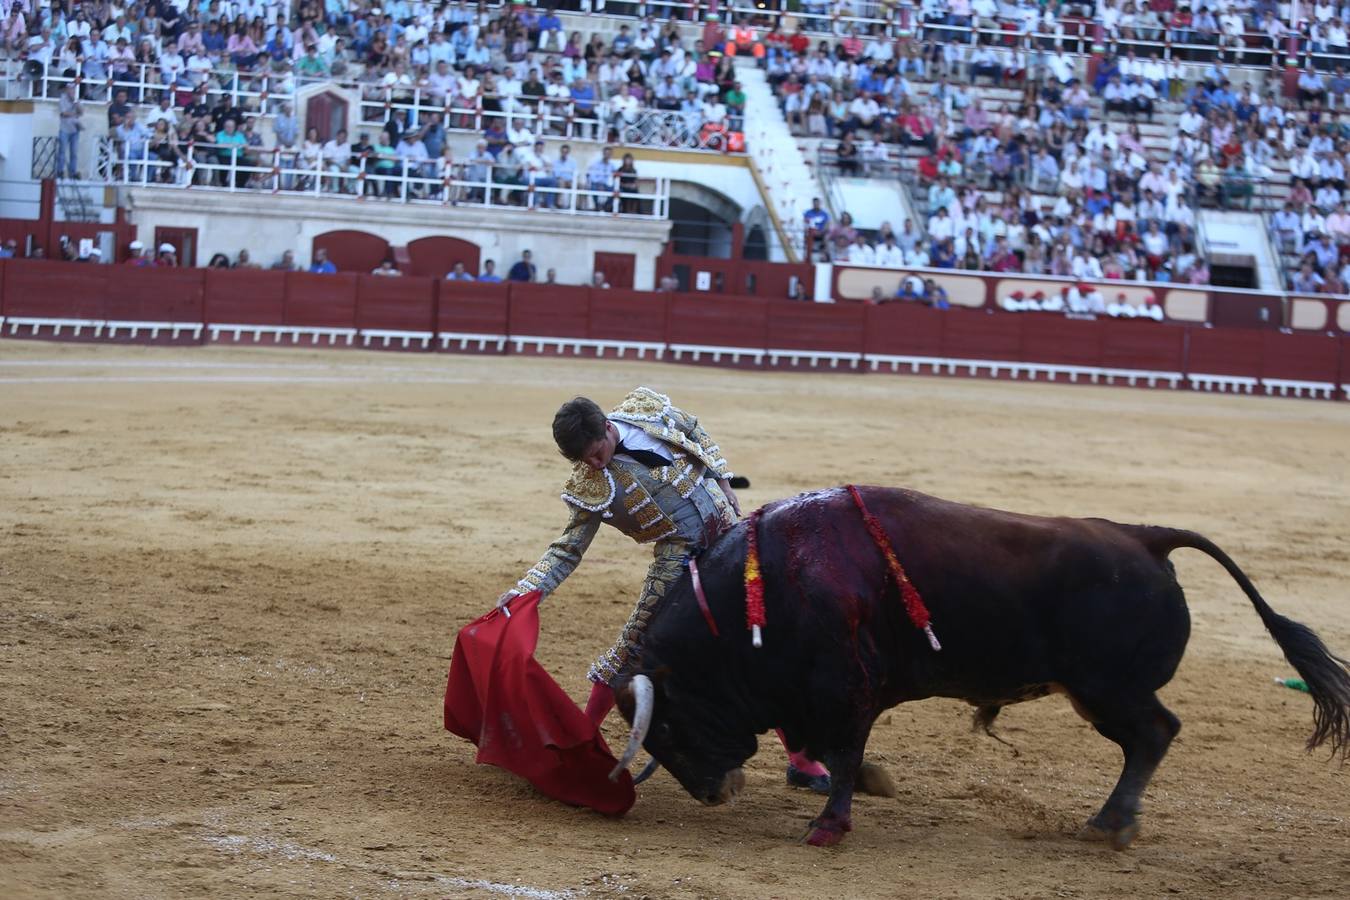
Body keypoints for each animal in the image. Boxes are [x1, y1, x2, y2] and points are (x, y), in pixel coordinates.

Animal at [612, 485, 1350, 847]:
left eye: (667, 728)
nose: (713, 794)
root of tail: (1146, 538)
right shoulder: (817, 696)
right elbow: (830, 752)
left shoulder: (845, 691)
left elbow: (844, 756)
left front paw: (828, 827)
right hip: (1101, 691)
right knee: (1151, 736)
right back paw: (1112, 822)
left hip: (1108, 689)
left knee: (1154, 734)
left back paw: (1110, 824)